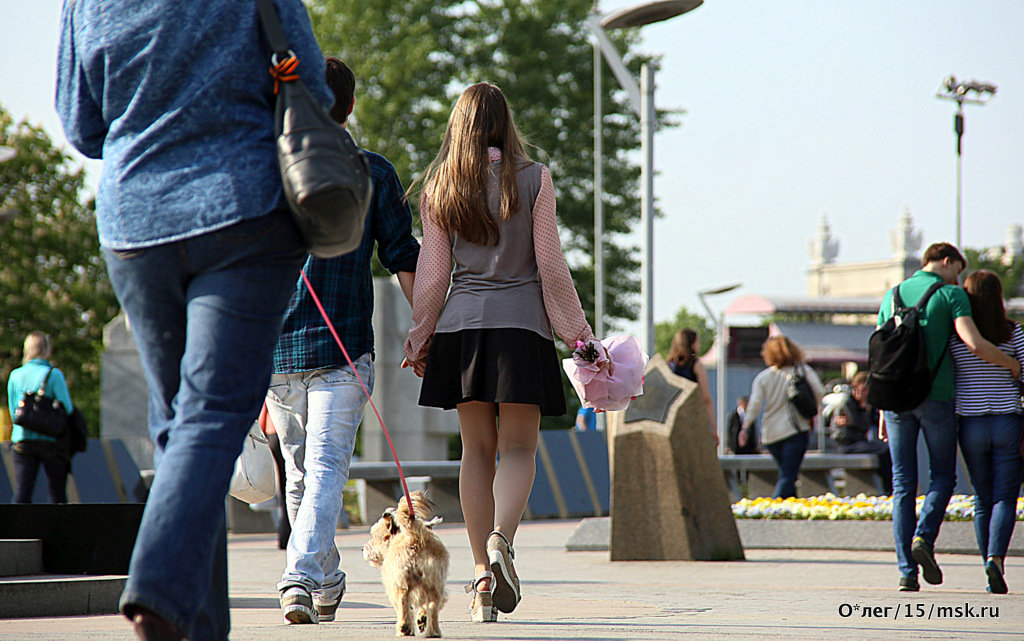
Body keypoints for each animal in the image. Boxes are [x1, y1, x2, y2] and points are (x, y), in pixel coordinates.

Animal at [366, 489, 450, 634]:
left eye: (375, 536)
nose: (363, 548)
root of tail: (414, 537)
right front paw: (422, 618)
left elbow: (405, 607)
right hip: (434, 582)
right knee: (432, 605)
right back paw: (433, 631)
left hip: (400, 582)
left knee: (403, 601)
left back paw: (404, 627)